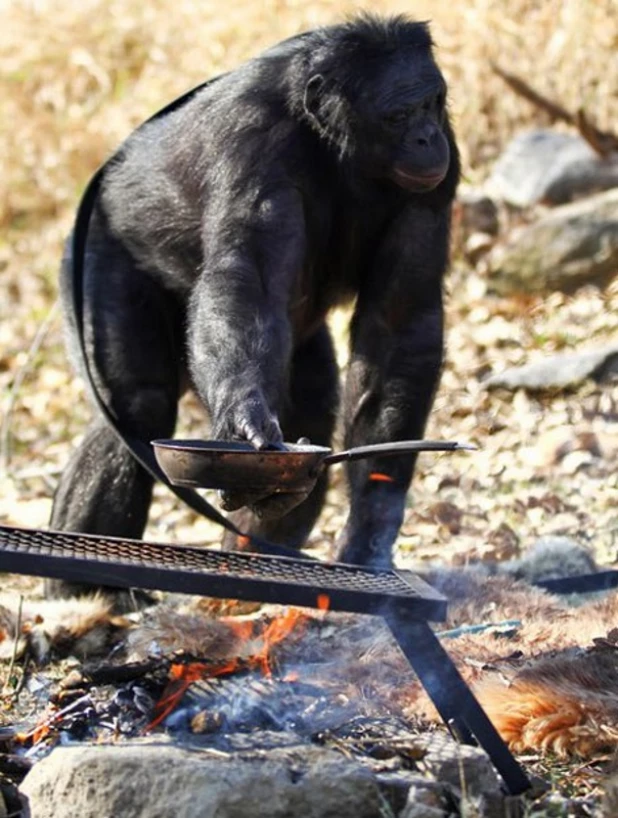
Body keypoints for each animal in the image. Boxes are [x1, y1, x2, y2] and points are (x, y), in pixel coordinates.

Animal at [48, 9, 458, 588]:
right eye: (398, 115)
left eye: (430, 103)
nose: (425, 137)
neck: (333, 145)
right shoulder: (251, 141)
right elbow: (250, 279)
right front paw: (244, 424)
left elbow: (399, 321)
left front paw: (369, 530)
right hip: (93, 254)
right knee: (137, 401)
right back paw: (83, 588)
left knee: (310, 403)